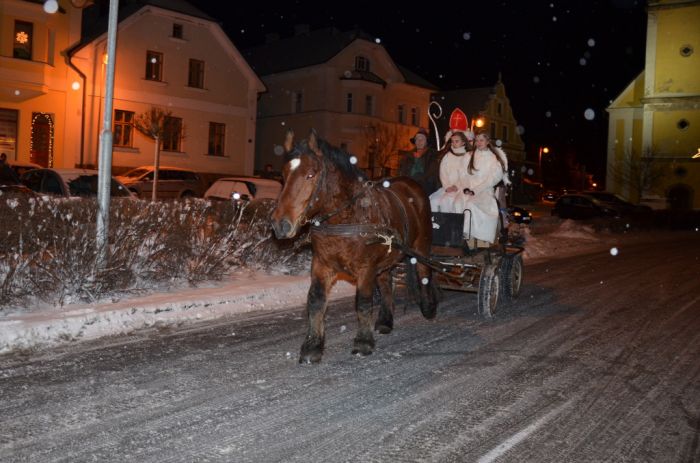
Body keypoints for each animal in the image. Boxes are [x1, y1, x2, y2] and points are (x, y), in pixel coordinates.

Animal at [270, 130, 438, 362]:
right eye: (284, 174)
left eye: (311, 174)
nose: (280, 224)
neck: (346, 217)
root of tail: (412, 185)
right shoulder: (321, 264)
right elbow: (316, 300)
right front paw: (313, 346)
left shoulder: (366, 268)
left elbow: (363, 302)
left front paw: (363, 342)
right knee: (386, 282)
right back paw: (385, 321)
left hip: (422, 245)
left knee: (424, 272)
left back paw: (429, 307)